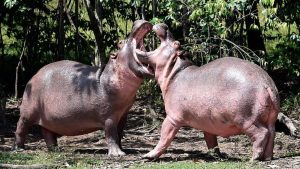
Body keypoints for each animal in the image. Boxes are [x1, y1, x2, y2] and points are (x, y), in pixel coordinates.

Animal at [13, 19, 154, 156]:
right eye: (120, 43)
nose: (137, 21)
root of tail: (34, 76)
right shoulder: (109, 116)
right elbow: (111, 135)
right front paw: (118, 154)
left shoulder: (123, 114)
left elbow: (119, 134)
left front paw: (124, 150)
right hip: (28, 112)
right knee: (20, 127)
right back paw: (19, 148)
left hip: (48, 117)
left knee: (47, 132)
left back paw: (55, 149)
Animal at [135, 23, 278, 160]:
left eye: (176, 43)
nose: (165, 26)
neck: (174, 72)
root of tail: (266, 84)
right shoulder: (207, 123)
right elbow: (211, 140)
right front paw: (217, 155)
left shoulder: (172, 118)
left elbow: (164, 137)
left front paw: (148, 156)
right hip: (270, 118)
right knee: (272, 133)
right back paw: (267, 158)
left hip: (246, 119)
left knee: (261, 133)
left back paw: (254, 158)